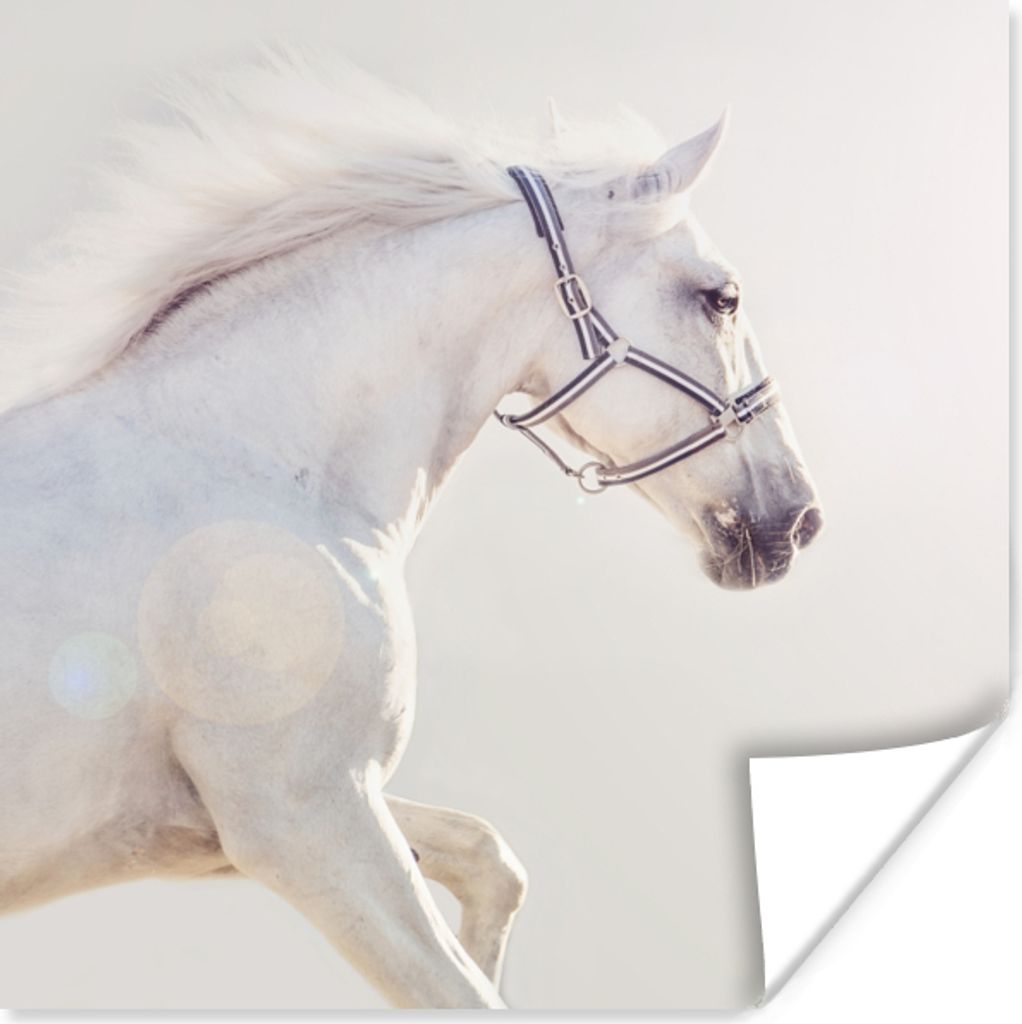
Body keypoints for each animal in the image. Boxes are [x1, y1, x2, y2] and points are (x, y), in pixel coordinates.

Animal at [0, 52, 821, 1008]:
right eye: (722, 298)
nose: (800, 518)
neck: (253, 466)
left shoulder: (240, 823)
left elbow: (492, 862)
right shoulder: (307, 823)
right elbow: (461, 987)